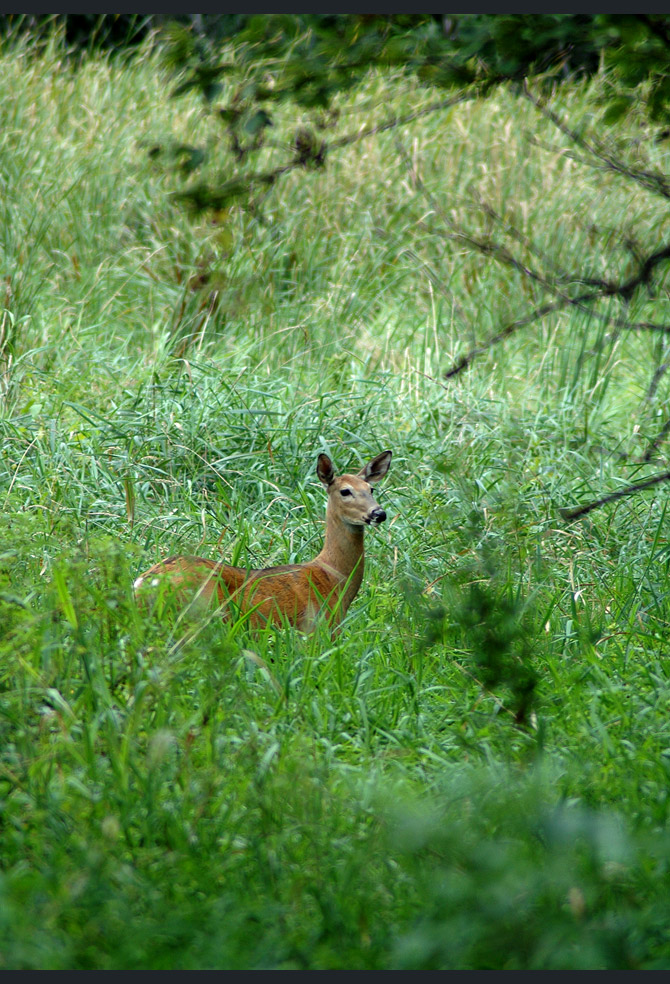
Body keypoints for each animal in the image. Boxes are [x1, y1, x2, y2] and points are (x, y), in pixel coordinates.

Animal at [133, 450, 394, 636]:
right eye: (345, 491)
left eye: (371, 488)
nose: (379, 513)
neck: (333, 578)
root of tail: (143, 583)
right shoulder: (316, 629)